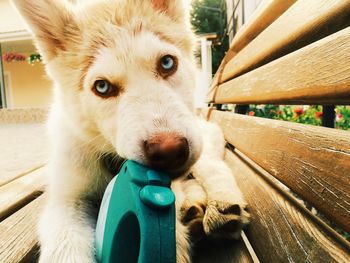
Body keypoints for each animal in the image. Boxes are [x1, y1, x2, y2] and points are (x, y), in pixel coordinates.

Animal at [13, 1, 249, 262]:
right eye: (102, 87)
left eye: (167, 63)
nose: (170, 151)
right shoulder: (66, 198)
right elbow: (64, 244)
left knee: (213, 167)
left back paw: (224, 205)